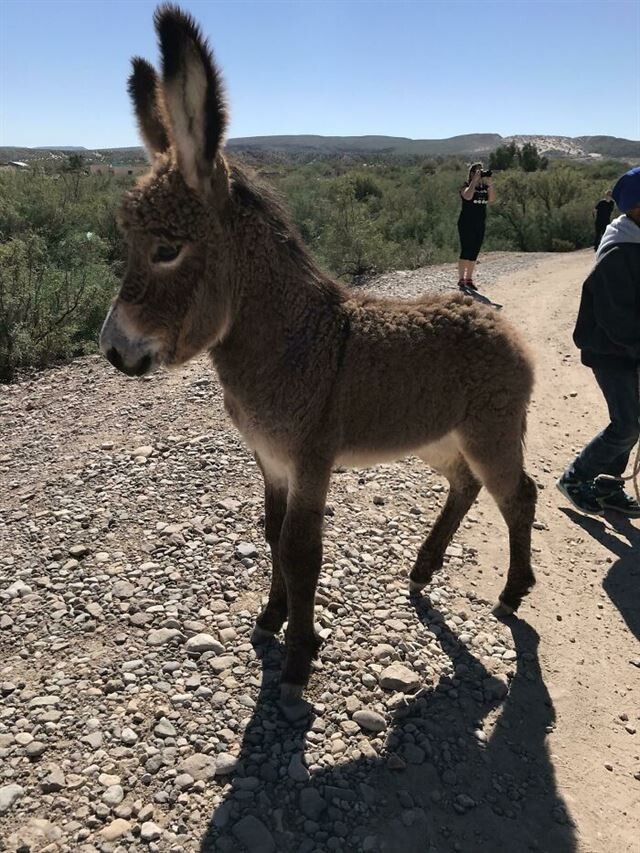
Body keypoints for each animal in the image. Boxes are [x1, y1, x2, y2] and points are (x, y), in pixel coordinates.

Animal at [100, 3, 536, 704]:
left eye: (166, 249)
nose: (113, 350)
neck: (289, 340)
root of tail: (501, 324)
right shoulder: (271, 460)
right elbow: (272, 536)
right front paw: (271, 617)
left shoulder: (309, 461)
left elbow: (301, 550)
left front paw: (300, 655)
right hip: (437, 437)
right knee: (466, 485)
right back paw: (424, 569)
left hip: (491, 432)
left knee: (518, 495)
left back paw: (513, 594)